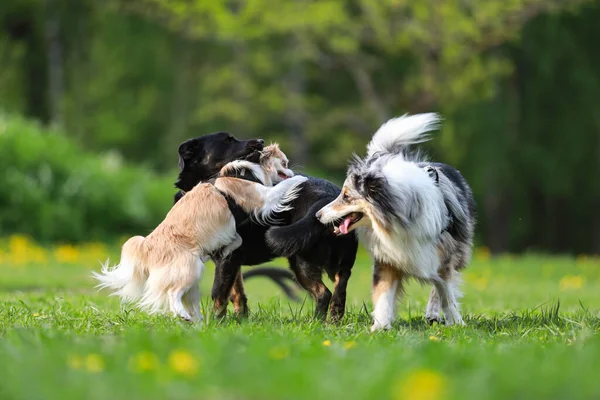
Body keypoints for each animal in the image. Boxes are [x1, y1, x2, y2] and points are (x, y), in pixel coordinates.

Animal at [96, 151, 310, 322]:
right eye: (284, 163)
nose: (293, 170)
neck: (245, 174)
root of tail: (147, 247)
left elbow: (236, 240)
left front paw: (228, 246)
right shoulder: (262, 197)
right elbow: (280, 189)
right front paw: (300, 180)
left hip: (193, 279)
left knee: (187, 301)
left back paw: (197, 321)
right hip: (188, 270)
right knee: (173, 293)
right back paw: (184, 315)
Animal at [176, 133, 358, 320]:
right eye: (228, 140)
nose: (261, 141)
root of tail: (325, 197)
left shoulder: (227, 258)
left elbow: (219, 294)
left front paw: (216, 322)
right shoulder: (234, 263)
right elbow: (237, 293)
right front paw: (241, 319)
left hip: (301, 260)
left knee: (323, 293)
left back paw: (316, 322)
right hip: (341, 260)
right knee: (340, 287)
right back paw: (333, 320)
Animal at [316, 113, 476, 332]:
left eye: (346, 196)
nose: (318, 215)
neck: (399, 218)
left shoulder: (442, 257)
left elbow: (446, 294)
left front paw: (456, 322)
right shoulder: (388, 259)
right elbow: (383, 294)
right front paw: (379, 327)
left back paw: (433, 314)